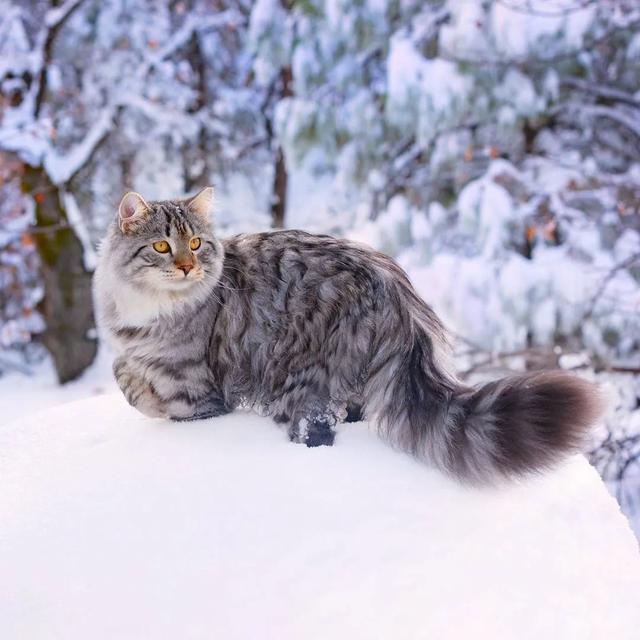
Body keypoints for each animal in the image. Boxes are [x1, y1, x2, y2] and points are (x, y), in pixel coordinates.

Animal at [92, 188, 604, 482]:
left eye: (196, 244)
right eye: (162, 246)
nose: (186, 267)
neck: (146, 307)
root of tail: (396, 291)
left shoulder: (195, 393)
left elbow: (142, 392)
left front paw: (137, 387)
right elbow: (122, 370)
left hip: (297, 382)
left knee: (318, 432)